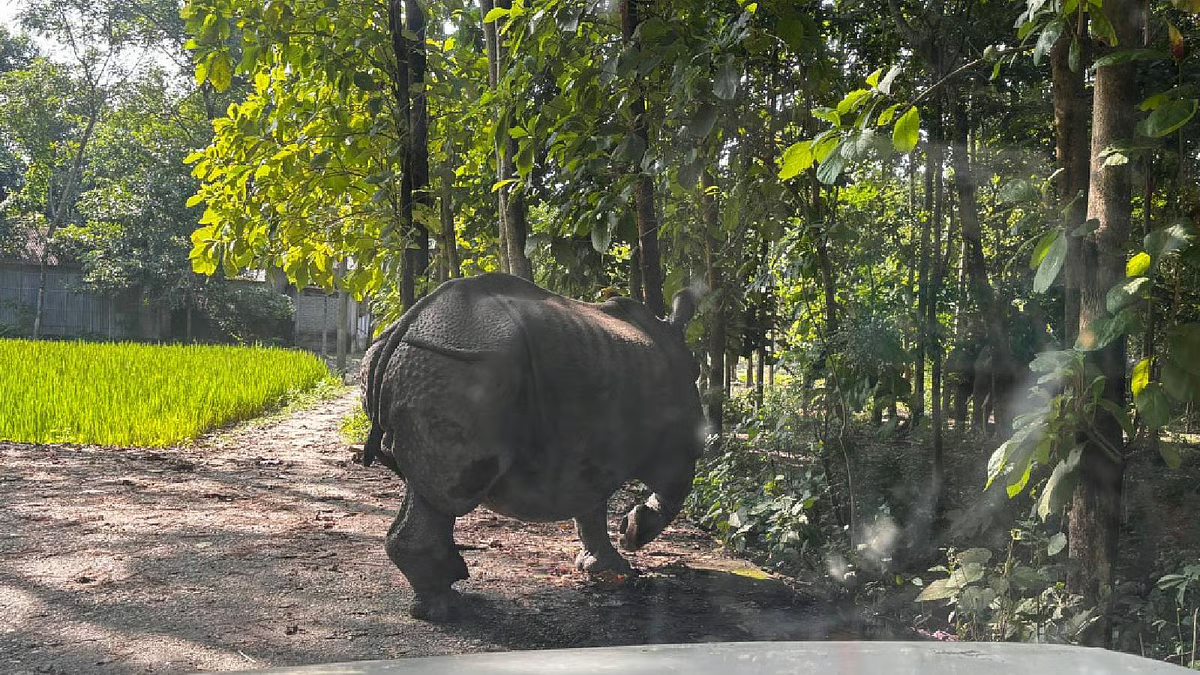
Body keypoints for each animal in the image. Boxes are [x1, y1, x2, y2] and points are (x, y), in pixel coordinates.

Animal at [360, 273, 704, 621]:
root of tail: (411, 321)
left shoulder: (591, 450)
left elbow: (590, 507)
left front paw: (605, 564)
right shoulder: (677, 443)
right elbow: (675, 488)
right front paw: (633, 533)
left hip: (426, 361)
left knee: (424, 489)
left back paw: (443, 597)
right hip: (461, 365)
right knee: (446, 494)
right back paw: (448, 608)